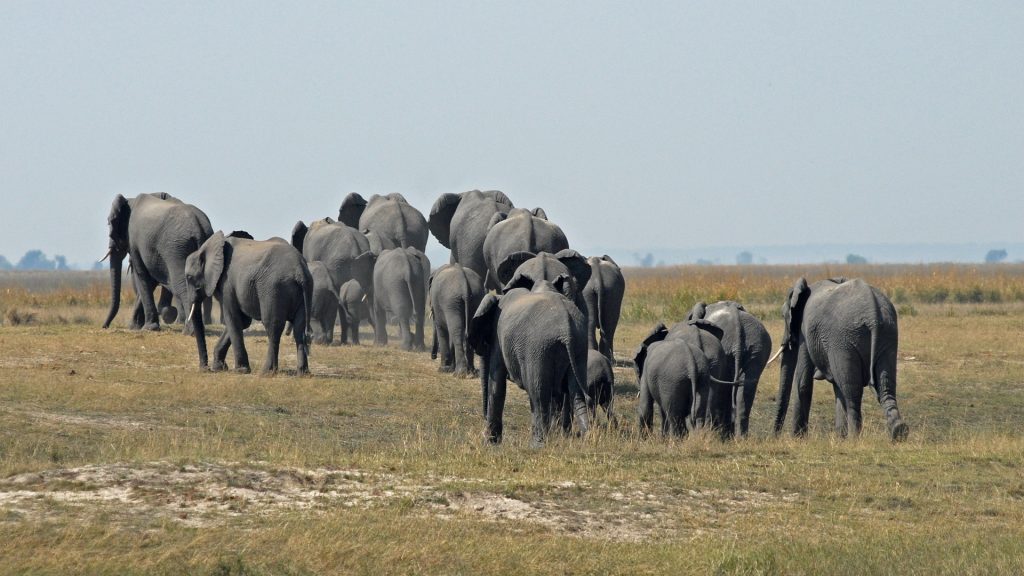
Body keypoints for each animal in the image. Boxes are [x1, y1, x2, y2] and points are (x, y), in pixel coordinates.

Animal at [102, 192, 213, 333]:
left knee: (180, 284)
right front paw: (135, 326)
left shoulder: (135, 241)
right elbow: (151, 280)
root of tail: (198, 229)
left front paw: (148, 328)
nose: (104, 326)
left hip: (176, 249)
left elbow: (142, 275)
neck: (130, 201)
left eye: (109, 223)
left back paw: (190, 331)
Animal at [184, 231, 313, 375]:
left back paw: (266, 372)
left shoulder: (227, 283)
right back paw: (303, 373)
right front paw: (219, 368)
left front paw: (241, 370)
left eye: (189, 277)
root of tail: (300, 271)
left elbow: (233, 318)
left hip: (274, 288)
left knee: (273, 326)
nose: (205, 369)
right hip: (304, 291)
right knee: (299, 328)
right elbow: (242, 321)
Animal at [469, 276, 591, 447]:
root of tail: (567, 329)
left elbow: (497, 385)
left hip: (538, 348)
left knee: (538, 394)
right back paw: (587, 437)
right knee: (576, 394)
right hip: (578, 347)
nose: (483, 419)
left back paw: (536, 445)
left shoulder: (499, 339)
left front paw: (489, 443)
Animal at [772, 277, 909, 441]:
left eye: (783, 316)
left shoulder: (805, 332)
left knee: (852, 390)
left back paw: (854, 439)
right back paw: (899, 431)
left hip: (844, 339)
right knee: (885, 385)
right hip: (887, 334)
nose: (774, 436)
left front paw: (798, 439)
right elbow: (836, 386)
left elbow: (803, 383)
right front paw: (839, 438)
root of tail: (873, 314)